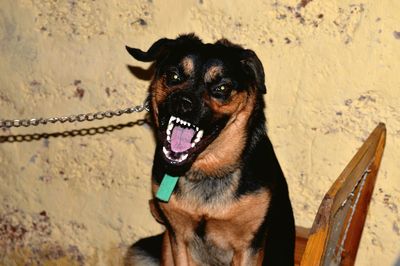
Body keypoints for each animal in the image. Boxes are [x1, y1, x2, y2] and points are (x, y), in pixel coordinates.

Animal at [124, 34, 294, 264]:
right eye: (173, 75)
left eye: (222, 88)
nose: (183, 102)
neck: (206, 170)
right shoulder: (178, 238)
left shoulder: (249, 247)